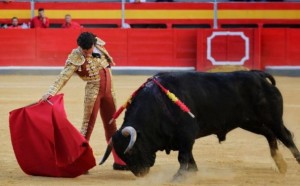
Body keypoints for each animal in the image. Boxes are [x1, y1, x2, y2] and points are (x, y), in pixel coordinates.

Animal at [101, 70, 300, 179]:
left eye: (130, 151)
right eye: (121, 155)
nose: (140, 174)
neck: (157, 104)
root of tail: (258, 75)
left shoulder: (187, 133)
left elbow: (183, 156)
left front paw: (179, 177)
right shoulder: (182, 138)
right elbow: (189, 157)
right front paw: (192, 172)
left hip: (273, 118)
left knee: (285, 136)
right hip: (249, 122)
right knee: (269, 134)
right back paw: (281, 165)